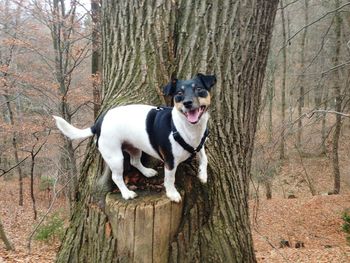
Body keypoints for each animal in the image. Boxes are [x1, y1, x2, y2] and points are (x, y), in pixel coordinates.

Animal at [53, 73, 216, 203]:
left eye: (199, 89)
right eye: (179, 93)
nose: (187, 103)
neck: (188, 129)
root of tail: (98, 123)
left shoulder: (200, 146)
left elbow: (205, 158)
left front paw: (202, 175)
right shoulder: (170, 162)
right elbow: (170, 179)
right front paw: (172, 194)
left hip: (134, 148)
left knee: (134, 161)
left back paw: (147, 172)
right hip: (115, 157)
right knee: (117, 177)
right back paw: (127, 193)